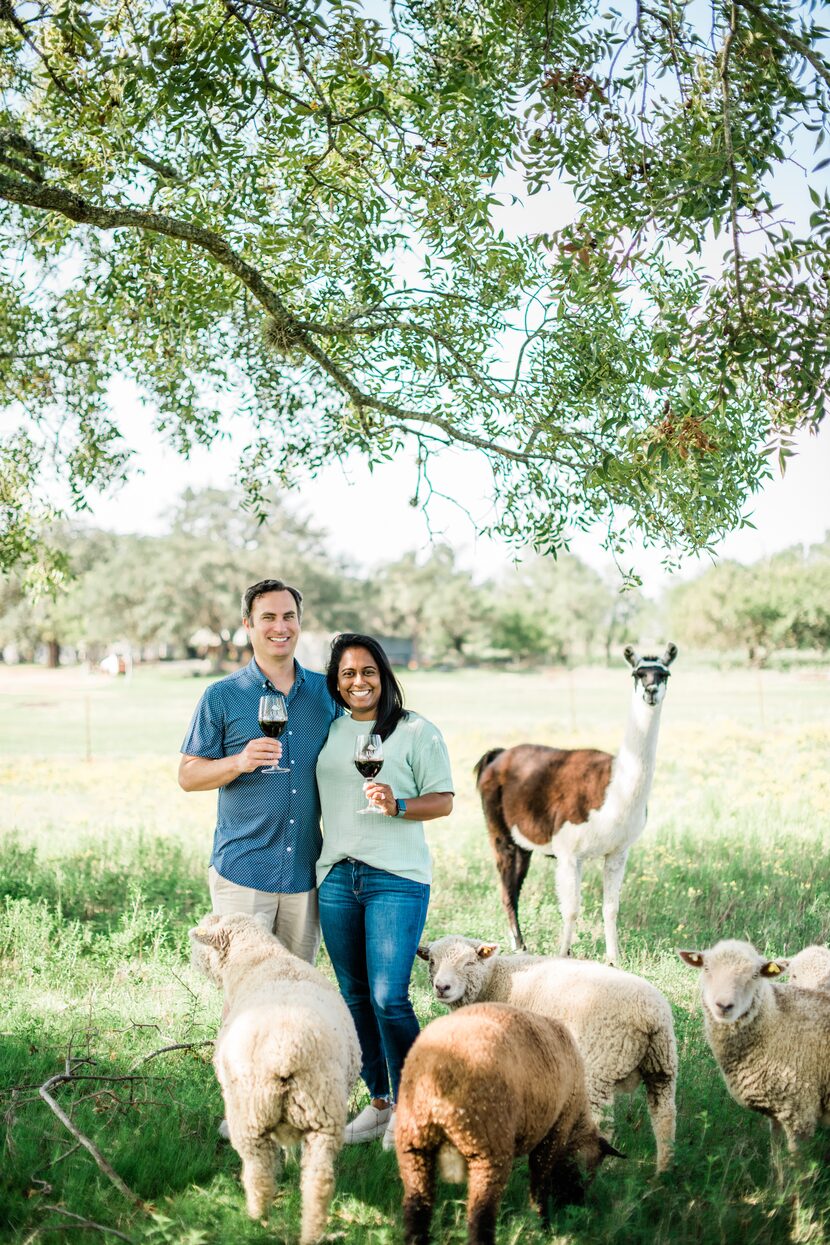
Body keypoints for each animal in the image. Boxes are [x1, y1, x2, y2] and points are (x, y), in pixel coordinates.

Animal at [191, 906, 360, 1245]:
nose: (191, 958)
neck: (259, 957)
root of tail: (287, 1050)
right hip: (324, 1115)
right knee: (319, 1181)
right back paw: (312, 1231)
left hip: (252, 1114)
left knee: (259, 1172)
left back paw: (256, 1219)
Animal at [395, 1000, 622, 1245]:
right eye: (589, 1170)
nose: (574, 1205)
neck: (577, 1121)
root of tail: (438, 1073)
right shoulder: (555, 1130)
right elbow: (540, 1179)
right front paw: (542, 1223)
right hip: (488, 1147)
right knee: (480, 1216)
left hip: (413, 1147)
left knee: (417, 1210)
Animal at [418, 936, 676, 1170]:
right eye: (432, 961)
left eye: (469, 963)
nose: (442, 987)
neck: (495, 979)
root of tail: (649, 1015)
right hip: (662, 1065)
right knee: (664, 1118)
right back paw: (661, 1174)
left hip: (600, 1067)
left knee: (602, 1124)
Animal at [676, 936, 830, 1150]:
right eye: (706, 968)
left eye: (755, 975)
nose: (724, 1006)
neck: (775, 1022)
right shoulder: (777, 1109)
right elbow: (777, 1153)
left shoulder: (801, 1110)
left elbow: (795, 1159)